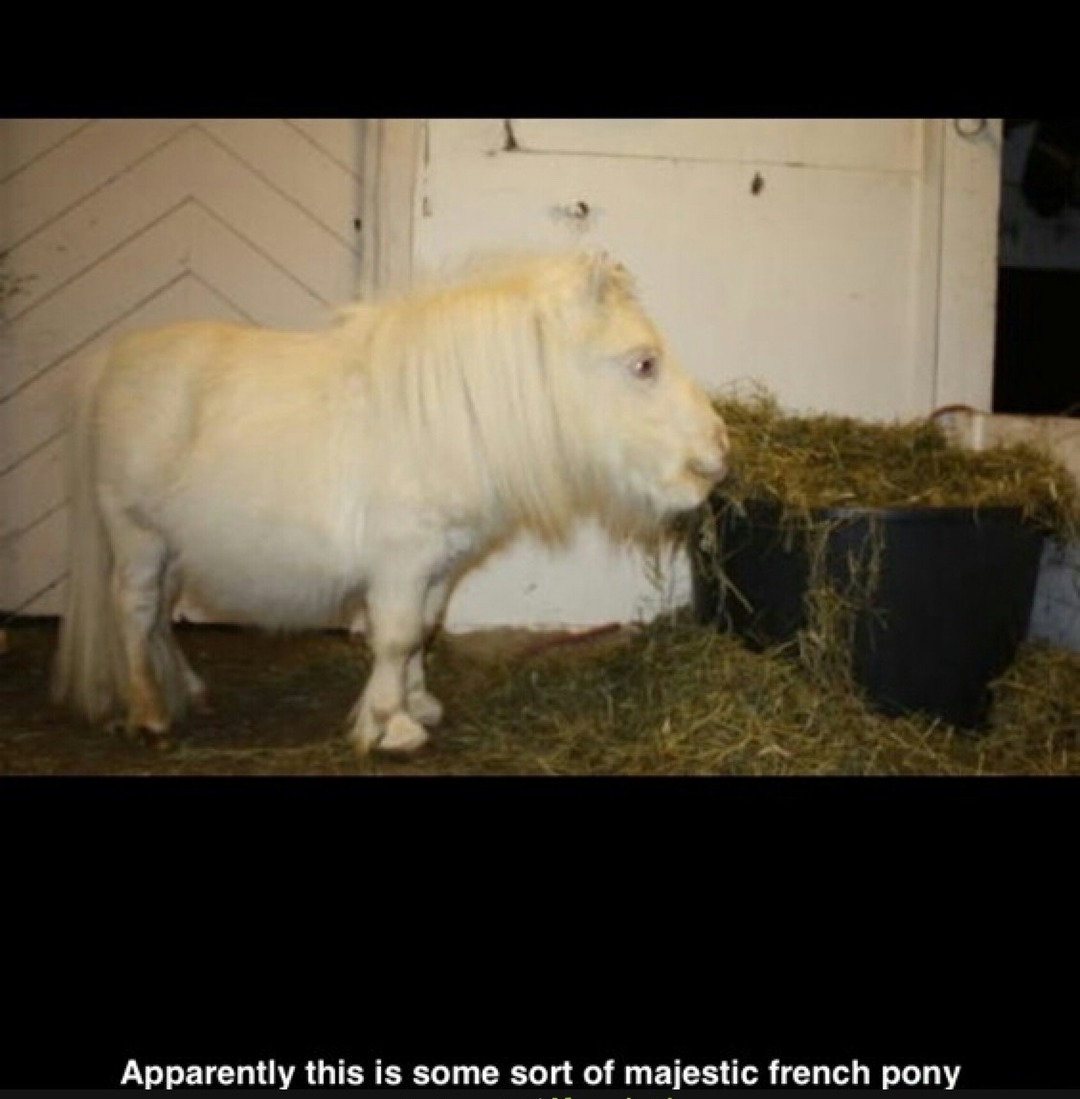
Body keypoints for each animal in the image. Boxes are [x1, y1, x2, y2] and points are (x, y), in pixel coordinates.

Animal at [51, 250, 730, 754]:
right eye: (643, 364)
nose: (719, 450)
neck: (447, 417)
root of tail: (111, 360)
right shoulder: (401, 562)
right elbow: (397, 636)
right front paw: (391, 725)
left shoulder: (439, 563)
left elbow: (423, 630)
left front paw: (417, 702)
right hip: (136, 534)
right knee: (136, 610)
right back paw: (148, 713)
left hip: (173, 547)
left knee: (162, 616)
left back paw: (187, 690)